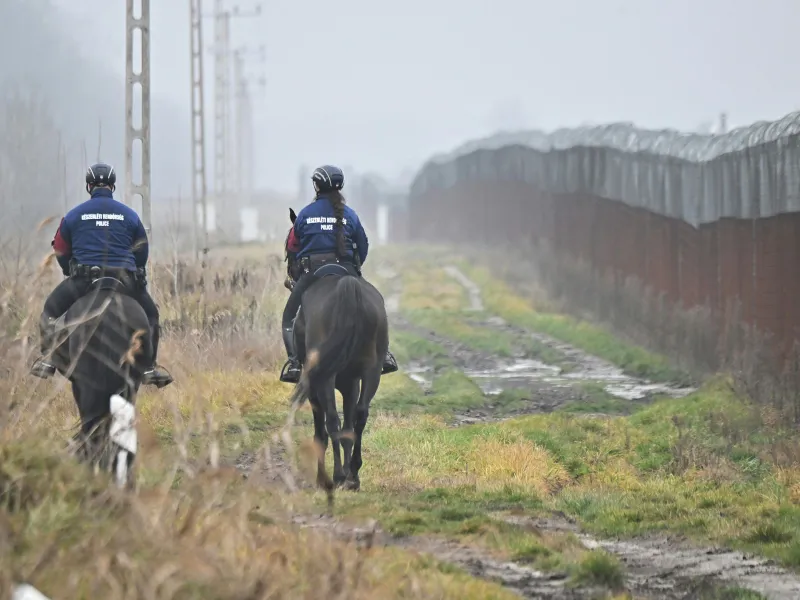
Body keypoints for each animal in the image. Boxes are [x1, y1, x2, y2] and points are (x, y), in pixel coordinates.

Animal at [284, 210, 390, 492]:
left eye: (290, 245)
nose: (289, 279)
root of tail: (347, 288)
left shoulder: (315, 383)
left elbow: (322, 429)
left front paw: (325, 477)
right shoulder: (351, 382)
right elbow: (349, 426)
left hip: (323, 378)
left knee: (331, 421)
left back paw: (338, 476)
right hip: (371, 371)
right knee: (360, 416)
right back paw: (352, 475)